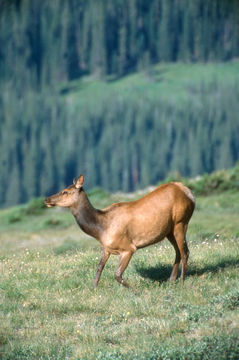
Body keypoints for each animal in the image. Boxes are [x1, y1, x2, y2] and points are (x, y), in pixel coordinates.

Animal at [44, 176, 194, 288]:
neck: (100, 229)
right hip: (169, 230)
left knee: (185, 252)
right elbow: (99, 268)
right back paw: (171, 279)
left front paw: (134, 289)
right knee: (178, 251)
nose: (46, 199)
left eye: (65, 191)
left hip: (181, 222)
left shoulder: (129, 248)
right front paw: (93, 288)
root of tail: (189, 192)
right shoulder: (106, 248)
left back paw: (181, 281)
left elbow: (117, 274)